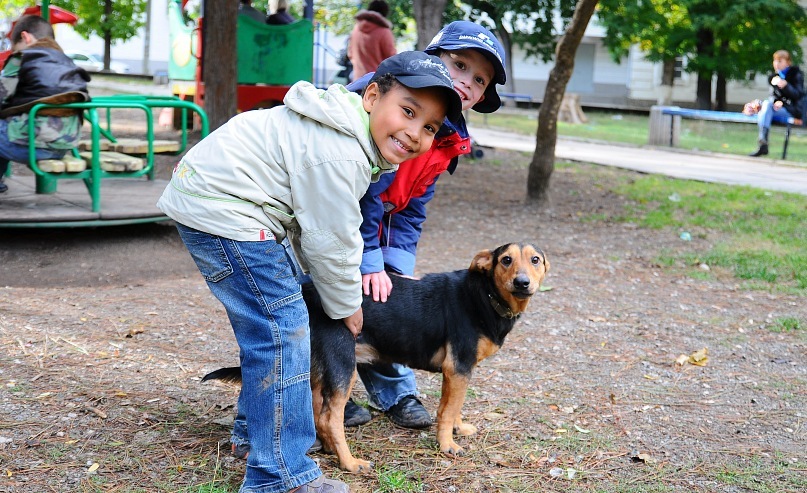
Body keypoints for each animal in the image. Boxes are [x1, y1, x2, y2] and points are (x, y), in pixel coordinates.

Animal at [205, 242, 552, 472]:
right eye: (505, 260)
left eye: (535, 260)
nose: (522, 282)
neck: (485, 294)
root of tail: (306, 295)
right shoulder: (458, 366)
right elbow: (447, 410)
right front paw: (447, 445)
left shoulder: (459, 372)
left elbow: (453, 407)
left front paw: (459, 428)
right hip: (342, 362)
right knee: (330, 417)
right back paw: (349, 462)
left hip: (319, 367)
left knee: (317, 412)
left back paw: (329, 448)